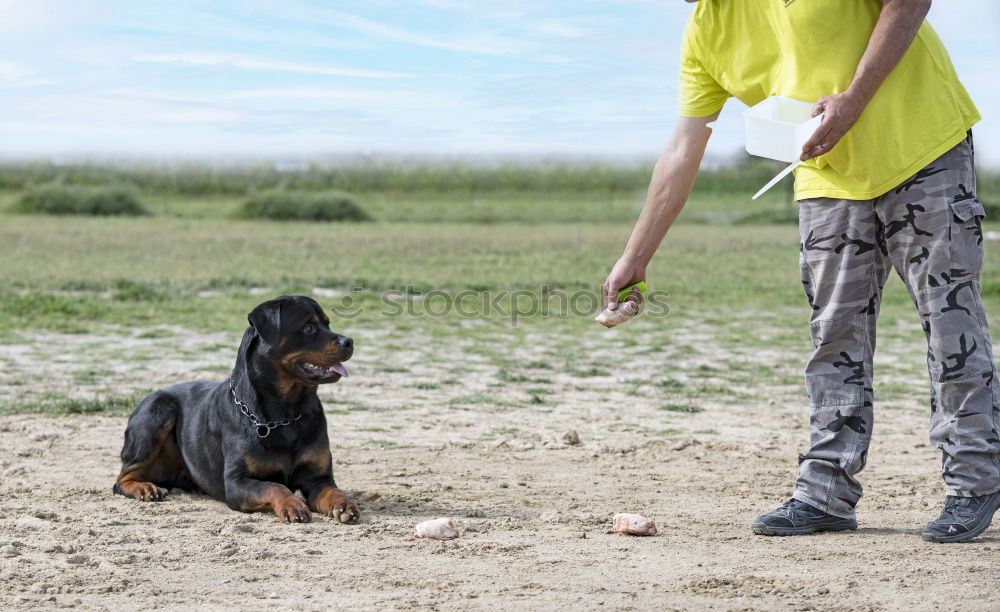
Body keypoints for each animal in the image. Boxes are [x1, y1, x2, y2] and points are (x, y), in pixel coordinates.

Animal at [113, 294, 360, 524]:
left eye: (328, 324)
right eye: (309, 327)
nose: (349, 341)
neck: (286, 411)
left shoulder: (317, 477)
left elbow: (331, 490)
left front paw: (344, 504)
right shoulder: (236, 482)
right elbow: (275, 486)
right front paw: (292, 504)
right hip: (158, 410)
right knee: (121, 478)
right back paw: (144, 488)